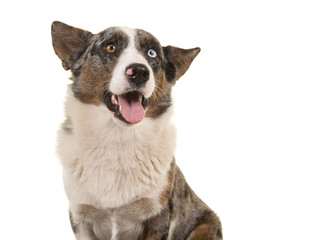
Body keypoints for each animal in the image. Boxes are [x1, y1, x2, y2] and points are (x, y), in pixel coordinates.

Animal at [51, 21, 222, 240]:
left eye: (152, 53)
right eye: (110, 47)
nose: (139, 72)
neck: (117, 138)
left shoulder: (157, 216)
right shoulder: (81, 217)